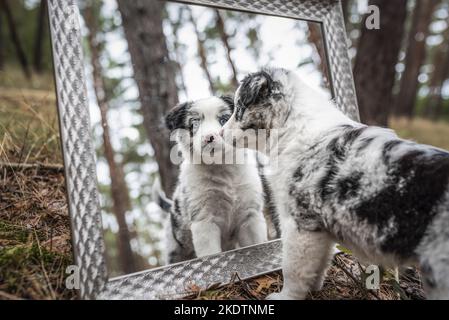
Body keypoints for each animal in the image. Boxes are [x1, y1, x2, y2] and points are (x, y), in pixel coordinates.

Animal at [156, 96, 266, 264]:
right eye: (194, 123)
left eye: (224, 119)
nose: (209, 137)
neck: (222, 168)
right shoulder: (204, 221)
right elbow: (210, 253)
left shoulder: (250, 215)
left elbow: (257, 243)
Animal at [222, 67, 448, 300]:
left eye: (239, 107)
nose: (220, 133)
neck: (293, 129)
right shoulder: (320, 228)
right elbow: (320, 262)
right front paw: (314, 288)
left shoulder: (300, 223)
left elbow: (293, 267)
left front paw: (286, 296)